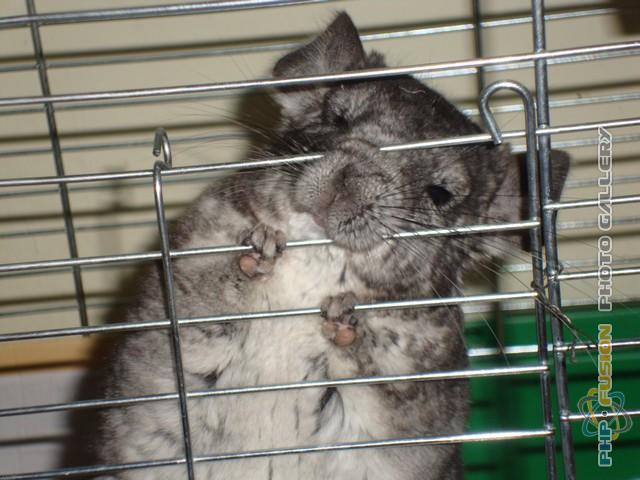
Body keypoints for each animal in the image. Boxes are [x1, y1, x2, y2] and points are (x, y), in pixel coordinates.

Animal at [94, 12, 569, 480]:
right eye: (337, 118)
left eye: (440, 193)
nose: (346, 181)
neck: (315, 261)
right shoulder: (185, 269)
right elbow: (212, 281)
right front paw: (260, 247)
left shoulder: (422, 375)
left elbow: (388, 376)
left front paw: (346, 314)